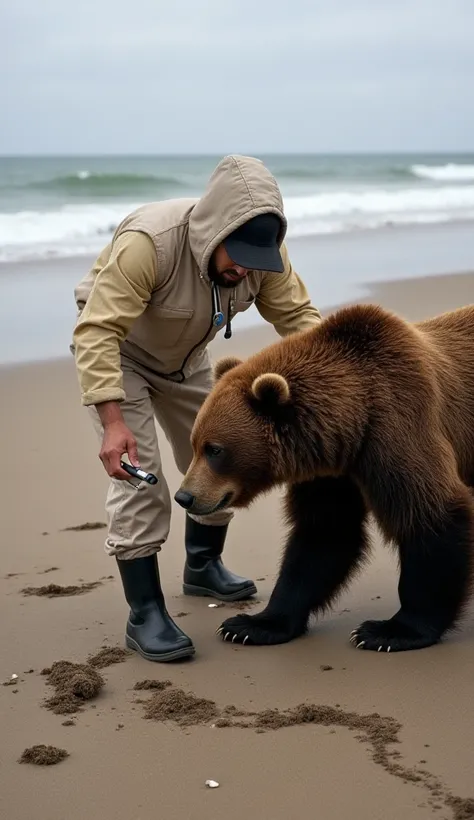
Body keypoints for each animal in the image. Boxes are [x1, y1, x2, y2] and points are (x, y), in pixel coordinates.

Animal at [175, 302, 474, 652]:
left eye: (215, 449)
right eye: (194, 444)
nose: (185, 496)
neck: (356, 420)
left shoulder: (401, 424)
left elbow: (431, 516)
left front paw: (390, 630)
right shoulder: (331, 473)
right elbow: (323, 535)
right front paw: (253, 624)